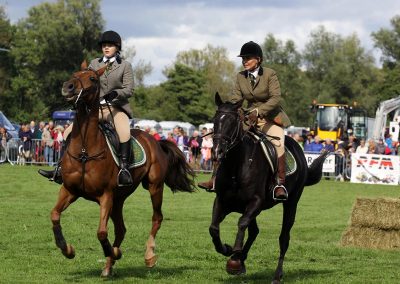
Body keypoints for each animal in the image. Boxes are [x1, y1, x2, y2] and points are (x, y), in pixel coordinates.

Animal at [51, 62, 195, 278]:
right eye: (75, 73)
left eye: (92, 79)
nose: (68, 87)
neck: (85, 150)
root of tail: (155, 140)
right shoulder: (69, 190)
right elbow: (54, 215)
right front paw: (67, 249)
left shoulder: (106, 196)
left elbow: (101, 232)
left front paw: (113, 252)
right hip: (119, 199)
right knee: (121, 229)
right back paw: (108, 266)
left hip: (154, 187)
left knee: (156, 218)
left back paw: (148, 256)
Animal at [209, 92, 328, 282]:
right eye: (214, 120)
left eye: (233, 122)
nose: (217, 152)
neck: (236, 165)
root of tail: (299, 150)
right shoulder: (222, 201)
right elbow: (214, 228)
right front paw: (229, 252)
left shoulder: (256, 202)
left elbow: (241, 223)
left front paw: (234, 257)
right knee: (254, 231)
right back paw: (242, 261)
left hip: (291, 204)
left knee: (284, 238)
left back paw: (276, 275)